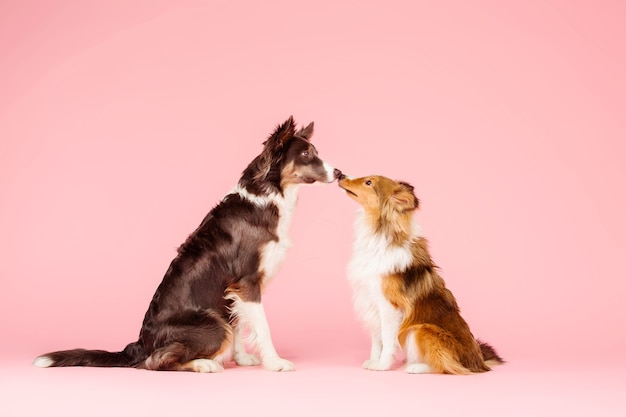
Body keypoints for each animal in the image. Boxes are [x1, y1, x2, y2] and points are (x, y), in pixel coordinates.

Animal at [34, 115, 342, 372]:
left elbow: (240, 324)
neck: (269, 195)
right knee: (156, 361)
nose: (339, 173)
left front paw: (242, 359)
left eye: (314, 152)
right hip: (213, 324)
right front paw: (275, 363)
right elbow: (261, 327)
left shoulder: (234, 288)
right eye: (306, 154)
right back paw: (204, 364)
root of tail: (139, 344)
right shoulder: (247, 281)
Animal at [338, 174, 500, 372]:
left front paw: (383, 365)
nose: (340, 175)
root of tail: (479, 362)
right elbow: (377, 339)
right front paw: (373, 360)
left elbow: (387, 339)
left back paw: (415, 367)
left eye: (369, 182)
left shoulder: (389, 307)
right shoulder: (371, 303)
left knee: (448, 366)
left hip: (422, 329)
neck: (379, 233)